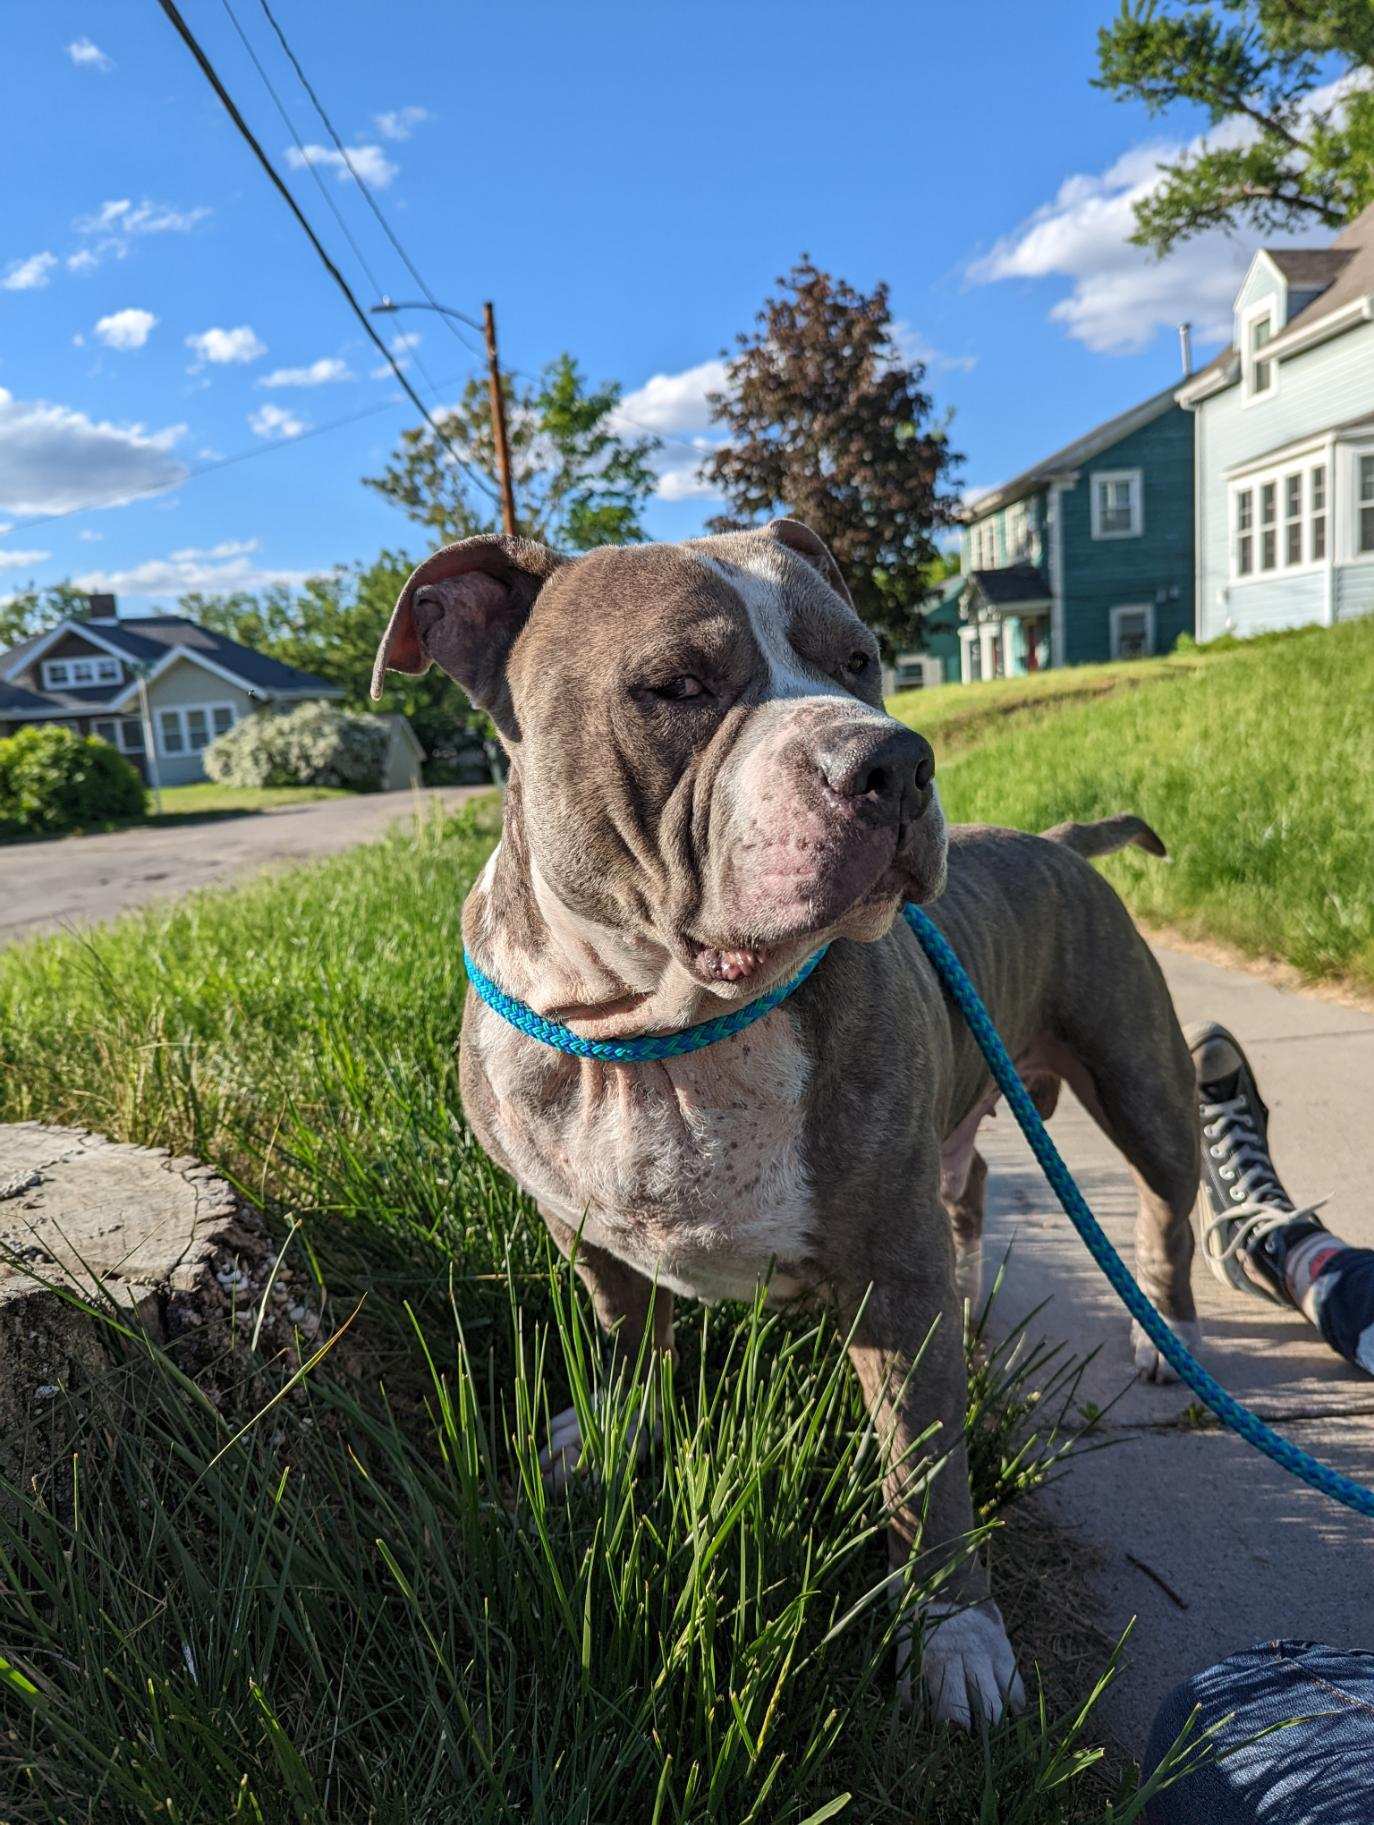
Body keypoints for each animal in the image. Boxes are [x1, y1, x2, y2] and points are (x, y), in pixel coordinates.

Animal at [370, 514, 1197, 1722]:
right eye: (676, 685)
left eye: (861, 660)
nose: (894, 760)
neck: (658, 1032)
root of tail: (1055, 839)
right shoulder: (583, 1228)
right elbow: (628, 1337)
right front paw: (614, 1435)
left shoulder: (891, 1274)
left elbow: (923, 1473)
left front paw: (953, 1636)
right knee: (971, 1187)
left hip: (1142, 1083)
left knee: (1166, 1207)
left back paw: (1164, 1331)